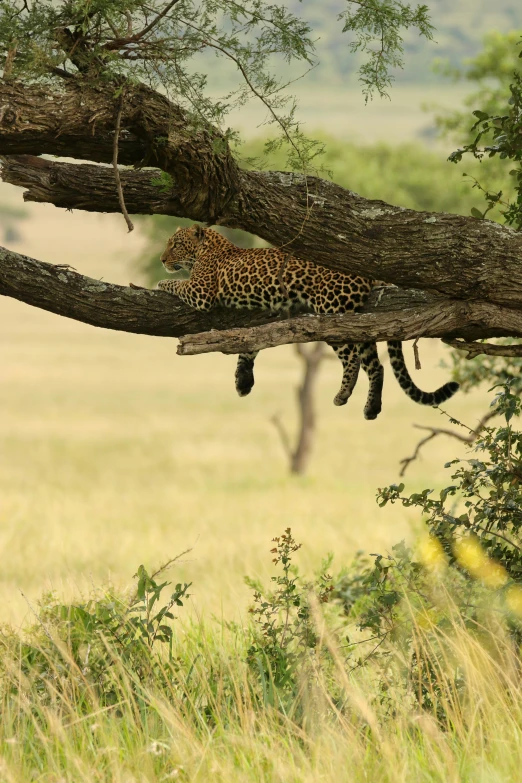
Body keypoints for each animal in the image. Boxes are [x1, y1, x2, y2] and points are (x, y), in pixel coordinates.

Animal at [156, 224, 458, 420]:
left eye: (175, 244)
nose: (161, 259)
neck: (208, 247)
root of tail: (366, 272)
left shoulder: (201, 292)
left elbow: (177, 283)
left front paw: (160, 282)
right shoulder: (271, 311)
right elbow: (250, 343)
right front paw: (243, 381)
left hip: (333, 311)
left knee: (352, 358)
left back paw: (343, 394)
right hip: (359, 320)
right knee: (377, 366)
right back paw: (371, 409)